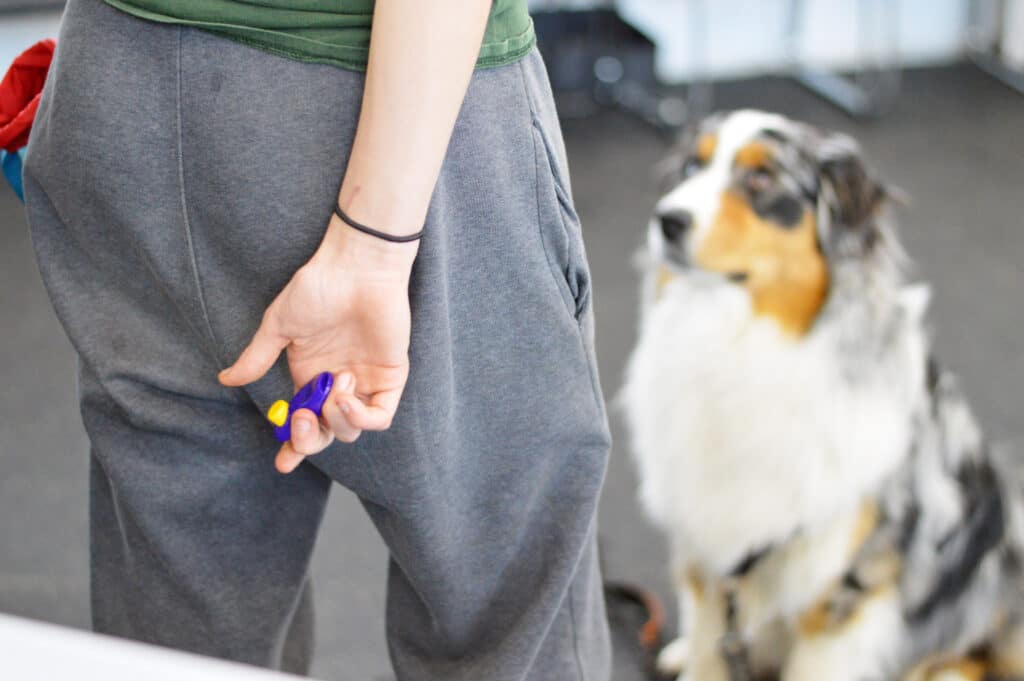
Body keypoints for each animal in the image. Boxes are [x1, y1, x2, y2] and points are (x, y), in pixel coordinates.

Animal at [618, 109, 1024, 675]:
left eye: (761, 179)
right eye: (691, 167)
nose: (666, 219)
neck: (740, 342)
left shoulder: (840, 601)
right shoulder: (708, 560)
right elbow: (707, 655)